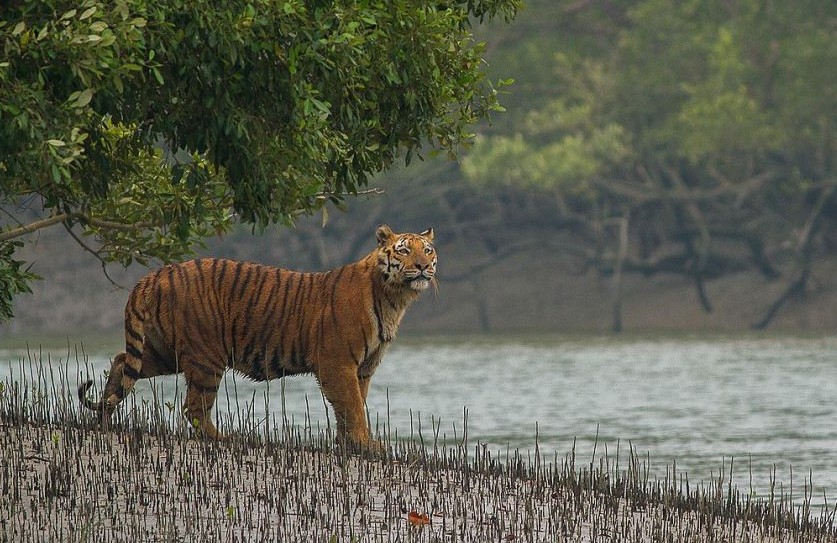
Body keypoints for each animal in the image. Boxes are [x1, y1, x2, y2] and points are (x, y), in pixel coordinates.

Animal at [78, 224, 436, 451]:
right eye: (404, 251)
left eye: (428, 250)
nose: (422, 266)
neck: (394, 298)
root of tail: (155, 274)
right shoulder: (338, 363)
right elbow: (351, 406)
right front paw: (366, 445)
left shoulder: (363, 368)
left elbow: (353, 405)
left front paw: (349, 444)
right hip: (206, 356)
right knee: (194, 407)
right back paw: (224, 439)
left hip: (164, 352)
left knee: (122, 362)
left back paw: (103, 419)